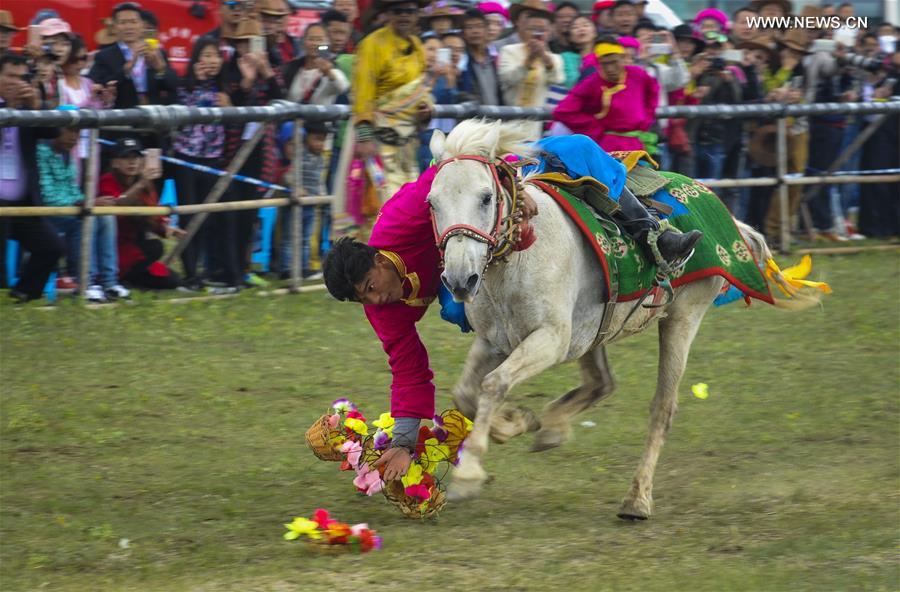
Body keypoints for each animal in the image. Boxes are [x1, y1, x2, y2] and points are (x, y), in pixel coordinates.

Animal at [426, 119, 820, 520]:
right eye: (432, 202)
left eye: (485, 198)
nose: (459, 279)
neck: (523, 253)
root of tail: (728, 216)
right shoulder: (494, 340)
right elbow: (467, 391)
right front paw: (515, 422)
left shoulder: (550, 339)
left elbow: (493, 384)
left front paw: (469, 474)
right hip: (595, 329)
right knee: (602, 382)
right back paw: (552, 427)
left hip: (682, 317)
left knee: (662, 407)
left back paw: (637, 499)